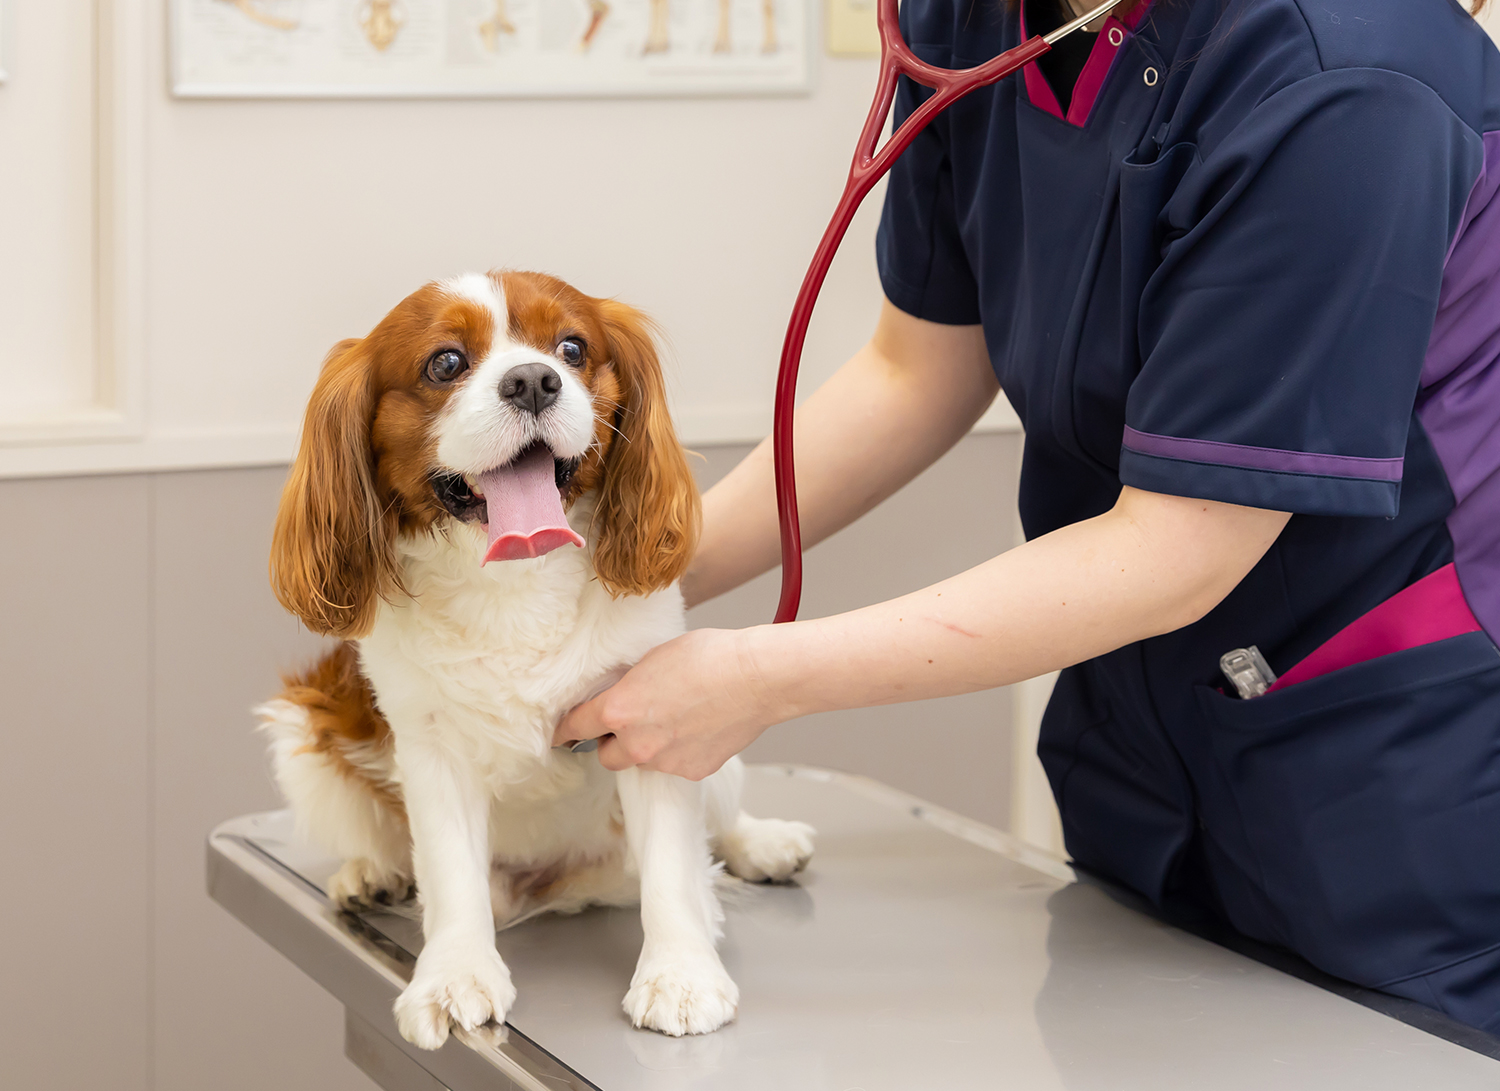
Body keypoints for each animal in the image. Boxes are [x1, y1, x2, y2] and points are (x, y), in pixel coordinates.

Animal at [262, 268, 816, 1044]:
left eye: (572, 348)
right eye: (445, 363)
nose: (532, 381)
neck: (514, 580)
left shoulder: (657, 719)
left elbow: (674, 868)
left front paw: (679, 974)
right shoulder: (430, 749)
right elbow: (451, 875)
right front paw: (454, 975)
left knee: (722, 820)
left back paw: (763, 843)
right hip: (301, 733)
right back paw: (371, 873)